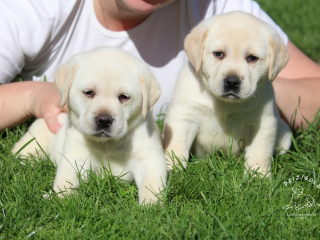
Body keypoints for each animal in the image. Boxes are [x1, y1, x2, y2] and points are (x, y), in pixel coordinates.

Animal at [11, 47, 168, 204]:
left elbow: (152, 183)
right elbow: (65, 179)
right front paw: (59, 198)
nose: (104, 120)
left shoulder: (149, 157)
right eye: (89, 92)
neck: (107, 144)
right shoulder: (75, 156)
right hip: (35, 137)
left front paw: (151, 204)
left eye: (124, 97)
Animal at [164, 11, 292, 174]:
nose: (231, 82)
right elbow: (176, 145)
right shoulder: (183, 116)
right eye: (218, 54)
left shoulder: (263, 124)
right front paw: (172, 169)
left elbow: (259, 153)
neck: (224, 103)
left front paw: (258, 176)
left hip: (285, 136)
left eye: (252, 58)